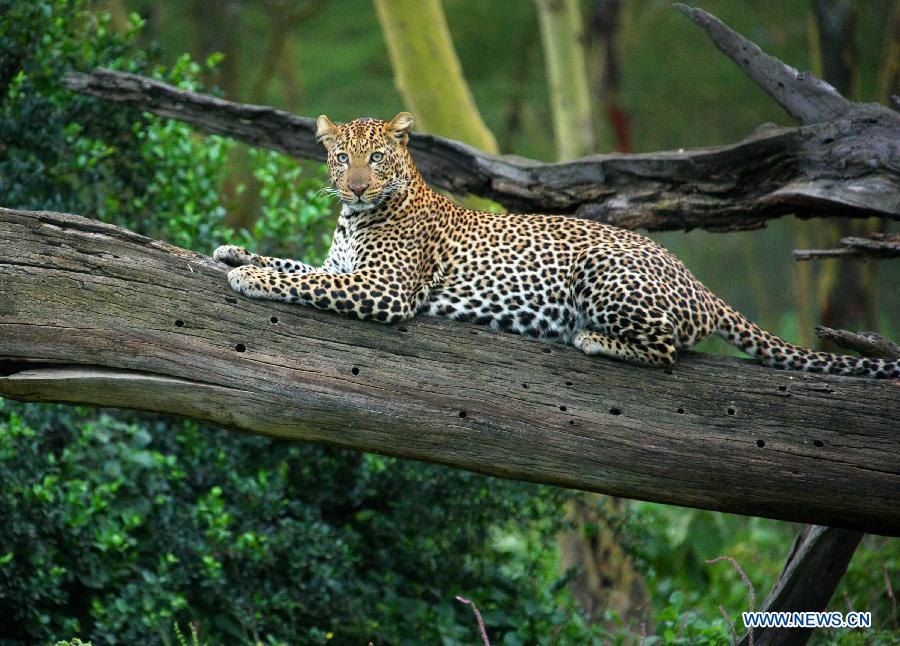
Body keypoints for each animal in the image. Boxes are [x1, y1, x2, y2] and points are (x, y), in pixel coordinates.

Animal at [214, 114, 896, 380]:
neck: (355, 219)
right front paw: (234, 253)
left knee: (668, 350)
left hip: (607, 276)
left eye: (376, 159)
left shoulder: (379, 291)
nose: (354, 185)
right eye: (340, 158)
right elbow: (295, 263)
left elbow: (304, 281)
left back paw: (591, 339)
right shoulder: (343, 267)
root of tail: (697, 281)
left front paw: (249, 278)